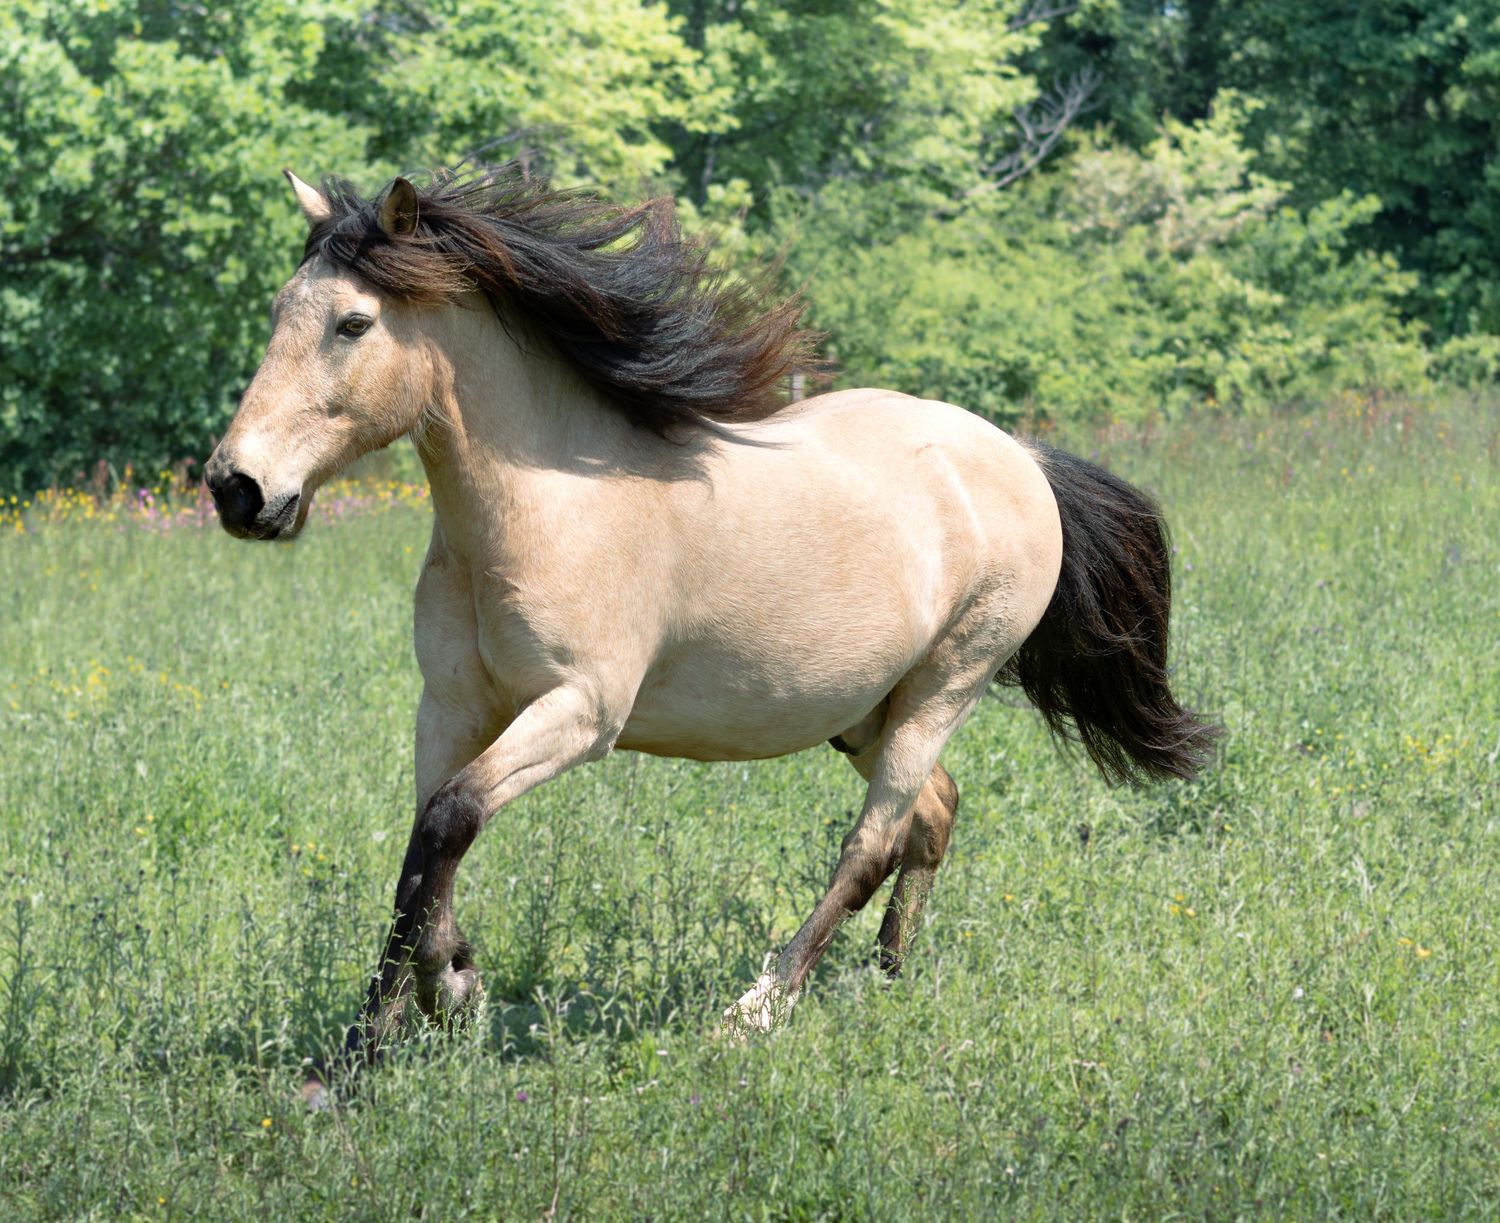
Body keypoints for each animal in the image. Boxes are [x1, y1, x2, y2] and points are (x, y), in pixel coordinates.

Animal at [205, 162, 1217, 1078]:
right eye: (278, 312)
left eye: (353, 323)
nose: (236, 488)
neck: (548, 505)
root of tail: (1019, 456)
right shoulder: (451, 708)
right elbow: (423, 854)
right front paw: (375, 1041)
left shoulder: (581, 712)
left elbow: (449, 823)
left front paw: (438, 998)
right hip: (863, 709)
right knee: (934, 814)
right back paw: (889, 976)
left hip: (947, 685)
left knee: (872, 841)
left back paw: (758, 1008)